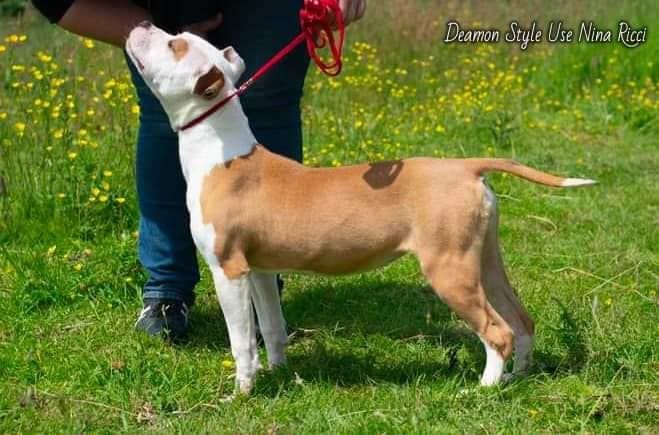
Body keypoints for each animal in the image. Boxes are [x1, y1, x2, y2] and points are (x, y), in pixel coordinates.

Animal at [126, 22, 595, 396]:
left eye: (174, 45)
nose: (144, 22)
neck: (221, 152)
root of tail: (466, 167)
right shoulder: (258, 270)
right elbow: (272, 329)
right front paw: (277, 373)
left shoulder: (229, 269)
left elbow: (241, 341)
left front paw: (241, 393)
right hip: (484, 260)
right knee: (521, 320)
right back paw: (518, 377)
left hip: (450, 268)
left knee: (497, 331)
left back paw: (483, 389)